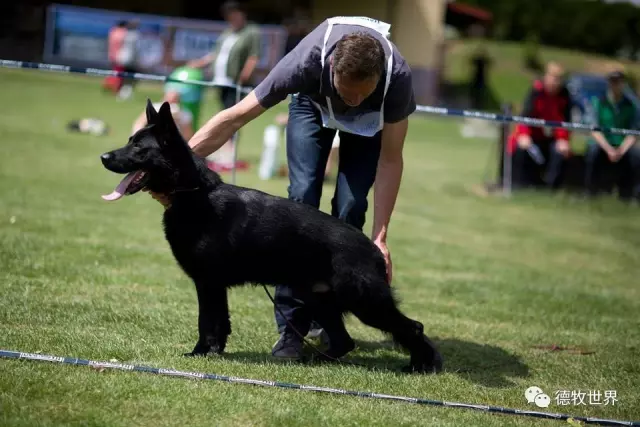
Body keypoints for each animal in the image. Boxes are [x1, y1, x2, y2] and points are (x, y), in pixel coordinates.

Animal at [100, 101, 442, 374]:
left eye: (138, 148)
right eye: (130, 141)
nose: (103, 157)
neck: (195, 193)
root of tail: (372, 248)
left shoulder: (207, 283)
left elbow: (206, 323)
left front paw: (199, 354)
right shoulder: (214, 286)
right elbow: (220, 323)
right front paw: (215, 352)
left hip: (364, 300)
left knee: (412, 327)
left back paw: (421, 365)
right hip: (319, 297)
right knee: (345, 341)